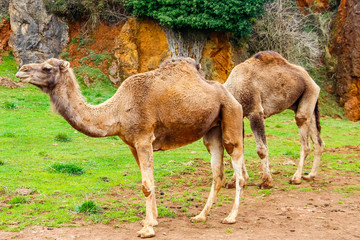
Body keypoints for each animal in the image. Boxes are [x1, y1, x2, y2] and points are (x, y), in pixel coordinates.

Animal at [16, 57, 248, 238]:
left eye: (47, 68)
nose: (21, 71)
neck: (116, 111)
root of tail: (230, 95)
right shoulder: (132, 145)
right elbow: (149, 181)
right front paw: (152, 220)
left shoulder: (144, 138)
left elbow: (146, 185)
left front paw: (147, 229)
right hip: (212, 129)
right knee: (217, 173)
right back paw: (200, 216)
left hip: (231, 116)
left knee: (238, 167)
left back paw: (231, 217)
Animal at [224, 51, 324, 189]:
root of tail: (312, 81)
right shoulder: (239, 117)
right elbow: (239, 148)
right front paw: (235, 181)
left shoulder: (256, 112)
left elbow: (261, 149)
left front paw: (266, 182)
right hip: (309, 106)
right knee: (318, 142)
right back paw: (310, 176)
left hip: (307, 99)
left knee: (305, 143)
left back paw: (296, 178)